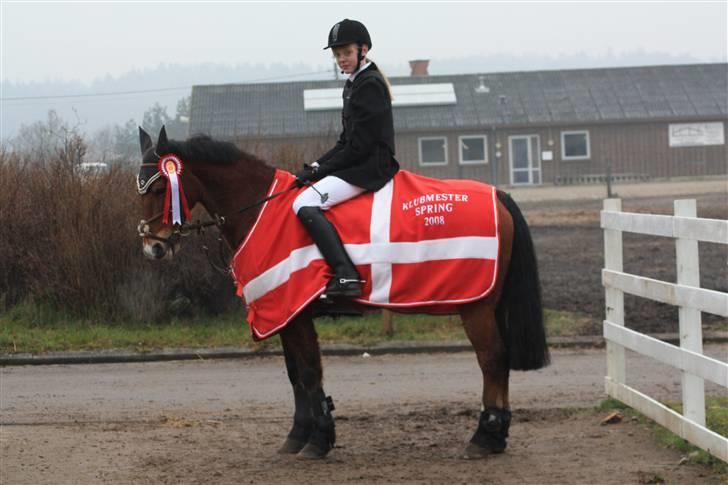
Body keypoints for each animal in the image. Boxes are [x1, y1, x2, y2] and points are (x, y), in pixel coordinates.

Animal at [136, 126, 548, 460]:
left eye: (159, 187)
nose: (152, 247)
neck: (260, 210)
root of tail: (499, 195)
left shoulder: (294, 308)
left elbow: (308, 373)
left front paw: (318, 440)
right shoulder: (287, 310)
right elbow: (295, 376)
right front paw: (298, 436)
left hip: (476, 307)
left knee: (492, 360)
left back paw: (483, 438)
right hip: (488, 306)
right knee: (499, 361)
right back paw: (497, 436)